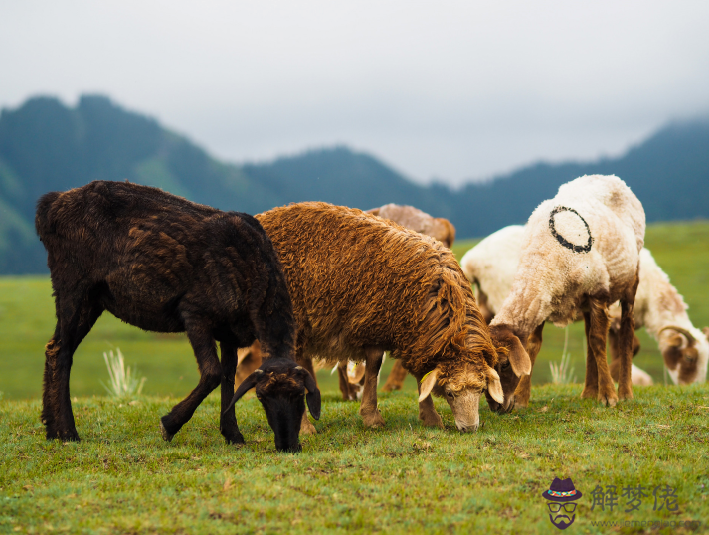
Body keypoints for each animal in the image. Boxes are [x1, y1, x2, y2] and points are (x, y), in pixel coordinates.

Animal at [35, 180, 318, 452]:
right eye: (261, 397)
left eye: (299, 395)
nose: (288, 446)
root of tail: (51, 205)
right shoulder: (194, 312)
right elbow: (213, 373)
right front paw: (169, 425)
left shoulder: (229, 331)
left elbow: (228, 377)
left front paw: (233, 434)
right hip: (73, 283)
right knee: (61, 350)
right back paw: (68, 432)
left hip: (93, 298)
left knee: (55, 349)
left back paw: (51, 428)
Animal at [252, 203, 528, 434]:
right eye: (450, 394)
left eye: (480, 390)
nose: (469, 428)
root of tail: (262, 216)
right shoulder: (381, 324)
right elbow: (376, 368)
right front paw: (381, 416)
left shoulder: (396, 330)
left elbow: (395, 370)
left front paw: (420, 417)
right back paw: (304, 428)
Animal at [456, 226, 704, 386]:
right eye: (689, 358)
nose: (692, 388)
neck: (653, 296)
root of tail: (472, 260)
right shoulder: (614, 314)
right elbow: (632, 347)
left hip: (484, 300)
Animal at [478, 176, 644, 410]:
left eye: (504, 365)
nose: (496, 408)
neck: (541, 258)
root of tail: (611, 177)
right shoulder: (542, 299)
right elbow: (533, 345)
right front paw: (521, 398)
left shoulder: (598, 291)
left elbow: (598, 342)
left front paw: (609, 396)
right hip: (584, 299)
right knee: (588, 336)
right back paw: (589, 391)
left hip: (630, 279)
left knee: (625, 330)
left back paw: (625, 392)